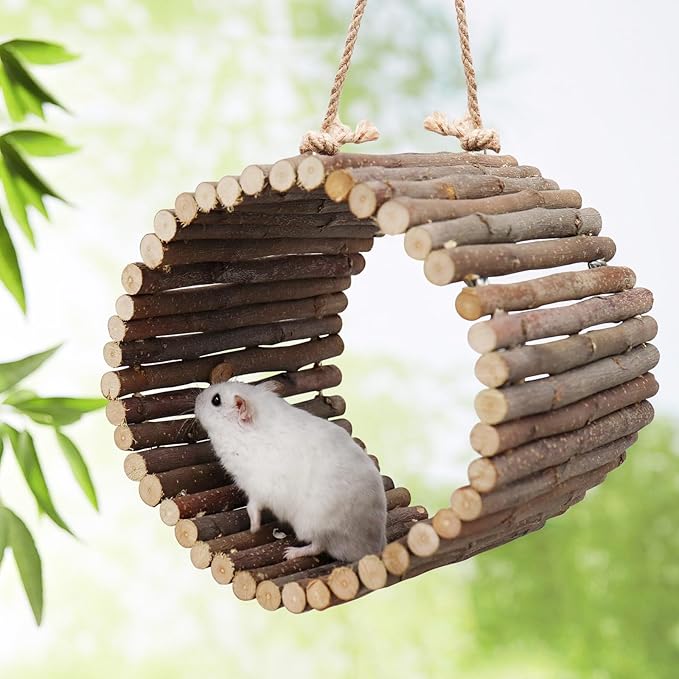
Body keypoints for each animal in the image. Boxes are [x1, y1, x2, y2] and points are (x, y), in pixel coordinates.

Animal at [194, 380, 387, 563]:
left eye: (216, 400)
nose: (196, 399)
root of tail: (372, 548)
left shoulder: (259, 488)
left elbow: (252, 506)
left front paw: (253, 529)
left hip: (312, 523)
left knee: (318, 546)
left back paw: (290, 553)